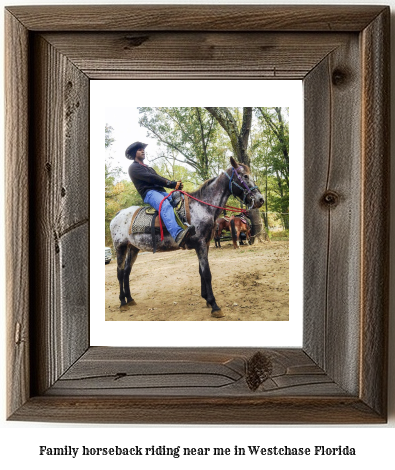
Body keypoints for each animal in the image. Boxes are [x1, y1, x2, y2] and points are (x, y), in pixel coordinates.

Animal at [110, 156, 264, 318]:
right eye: (244, 176)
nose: (260, 199)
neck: (202, 207)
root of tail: (118, 215)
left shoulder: (205, 244)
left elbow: (201, 271)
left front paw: (206, 299)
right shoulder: (201, 244)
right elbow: (207, 273)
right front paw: (214, 305)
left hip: (133, 248)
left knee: (126, 272)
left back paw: (130, 299)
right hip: (120, 247)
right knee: (120, 273)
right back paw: (122, 302)